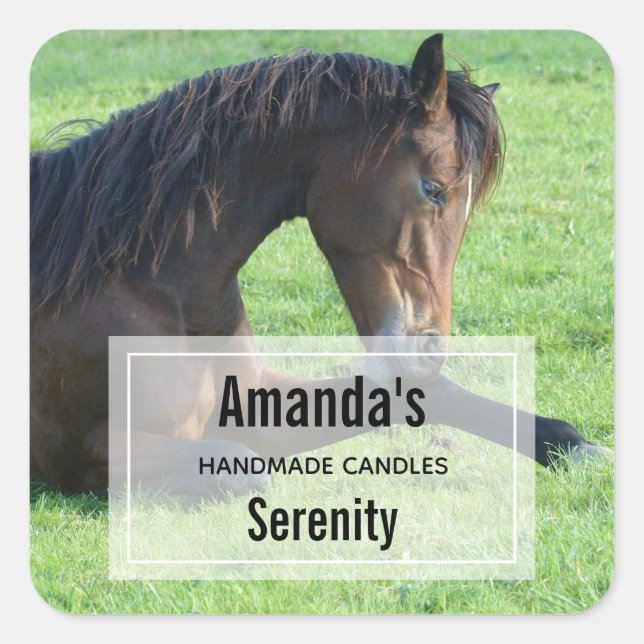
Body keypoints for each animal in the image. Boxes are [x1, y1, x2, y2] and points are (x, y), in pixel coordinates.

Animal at [30, 34, 608, 497]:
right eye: (434, 189)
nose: (430, 351)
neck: (151, 288)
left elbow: (420, 396)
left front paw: (572, 445)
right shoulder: (82, 455)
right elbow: (243, 465)